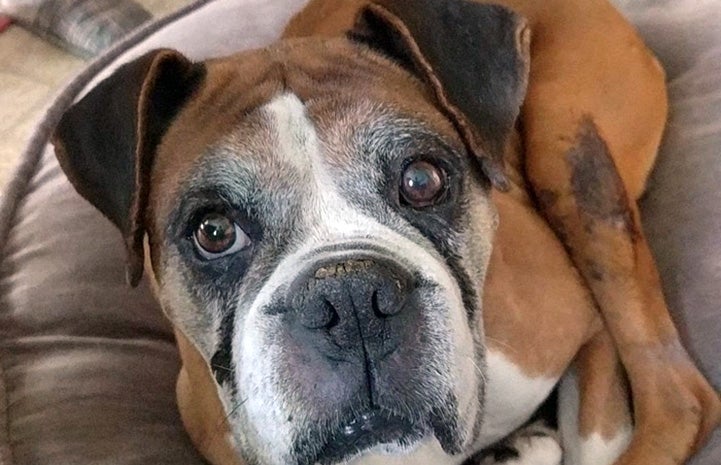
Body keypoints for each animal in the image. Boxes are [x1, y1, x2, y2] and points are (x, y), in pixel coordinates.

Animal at [50, 0, 716, 464]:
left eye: (422, 179)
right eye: (214, 231)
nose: (350, 297)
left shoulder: (584, 326)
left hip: (564, 152)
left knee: (678, 399)